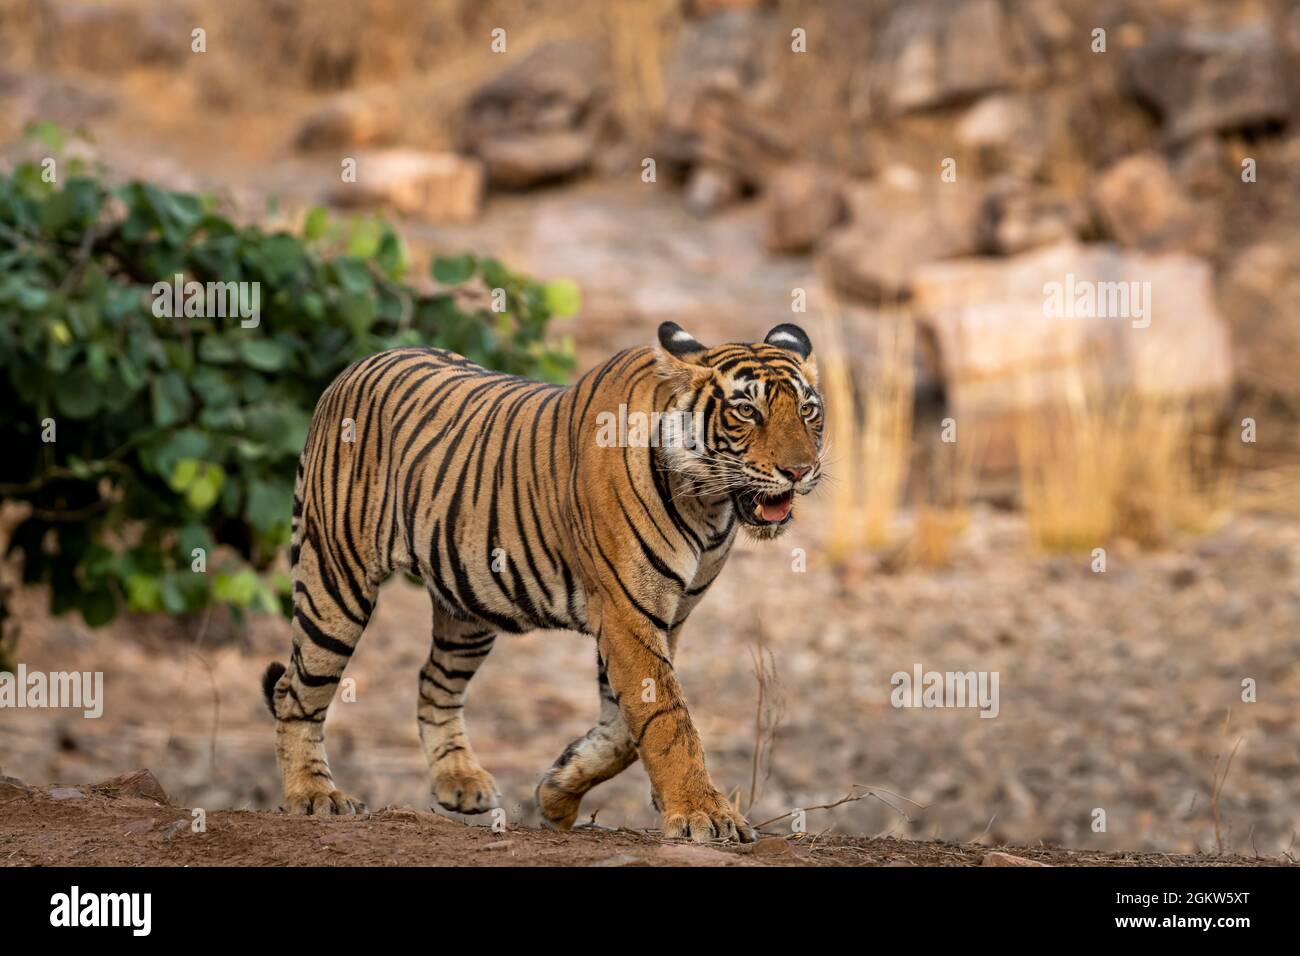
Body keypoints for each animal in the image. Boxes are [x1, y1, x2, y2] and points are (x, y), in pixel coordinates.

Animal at [262, 321, 821, 842]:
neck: (709, 505)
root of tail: (355, 367)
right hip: (336, 581)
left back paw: (459, 782)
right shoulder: (626, 613)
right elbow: (666, 718)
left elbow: (624, 731)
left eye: (809, 411)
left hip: (468, 602)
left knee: (434, 682)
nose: (799, 471)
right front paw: (704, 814)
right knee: (296, 689)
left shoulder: (666, 618)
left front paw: (556, 792)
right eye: (747, 411)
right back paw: (314, 794)